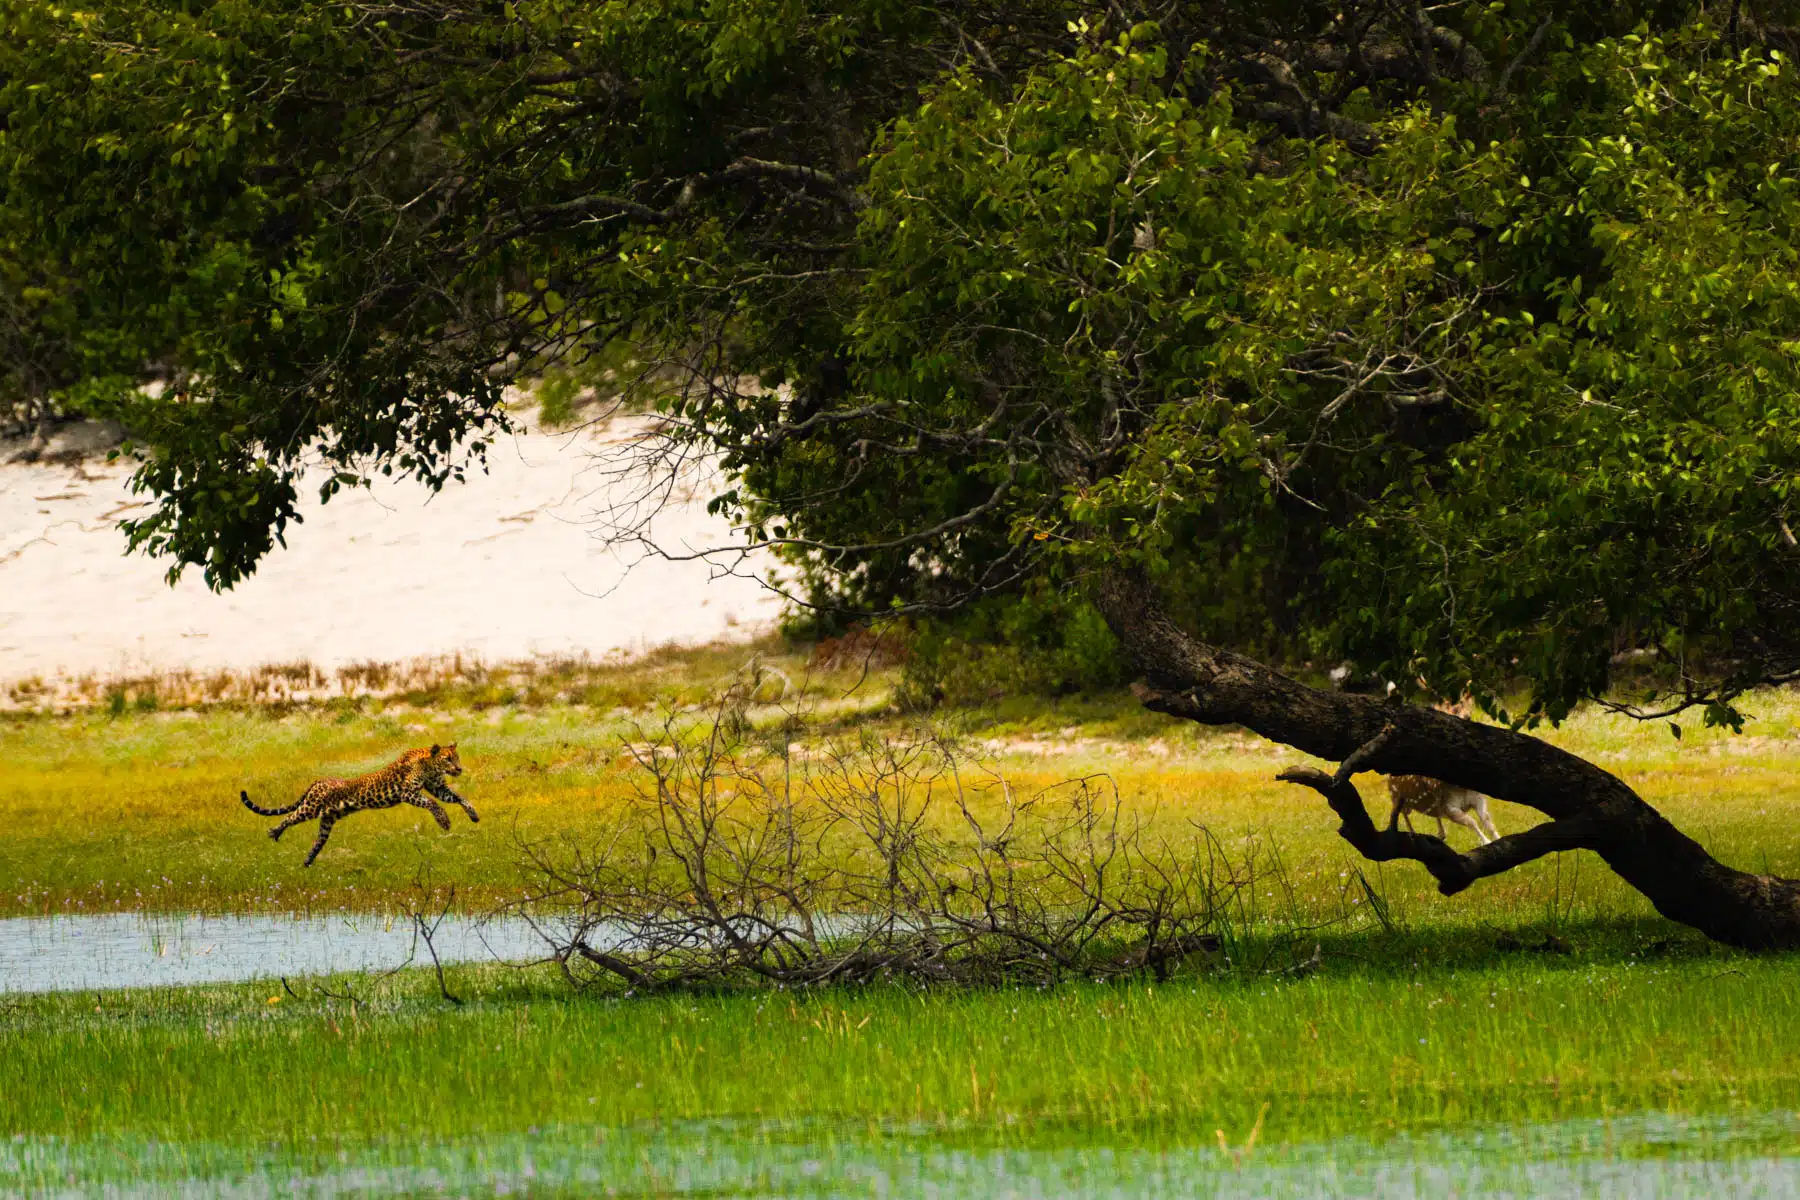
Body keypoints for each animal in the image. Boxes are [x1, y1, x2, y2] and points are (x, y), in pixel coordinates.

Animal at [239, 743, 477, 867]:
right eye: (447, 759)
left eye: (456, 757)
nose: (459, 769)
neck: (428, 765)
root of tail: (319, 780)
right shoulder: (408, 793)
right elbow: (432, 803)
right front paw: (444, 821)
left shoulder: (438, 788)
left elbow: (459, 798)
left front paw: (473, 814)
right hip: (311, 808)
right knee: (289, 816)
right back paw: (275, 832)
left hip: (327, 820)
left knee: (317, 841)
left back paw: (307, 861)